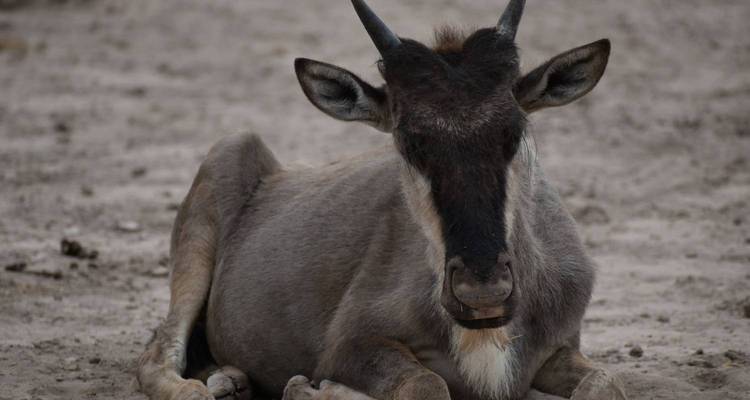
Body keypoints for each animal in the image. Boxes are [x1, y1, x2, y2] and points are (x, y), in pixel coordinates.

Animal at [136, 1, 627, 399]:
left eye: (514, 131)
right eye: (408, 142)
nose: (483, 291)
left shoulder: (557, 350)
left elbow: (606, 383)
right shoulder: (351, 347)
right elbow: (427, 385)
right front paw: (312, 390)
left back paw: (232, 380)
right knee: (156, 354)